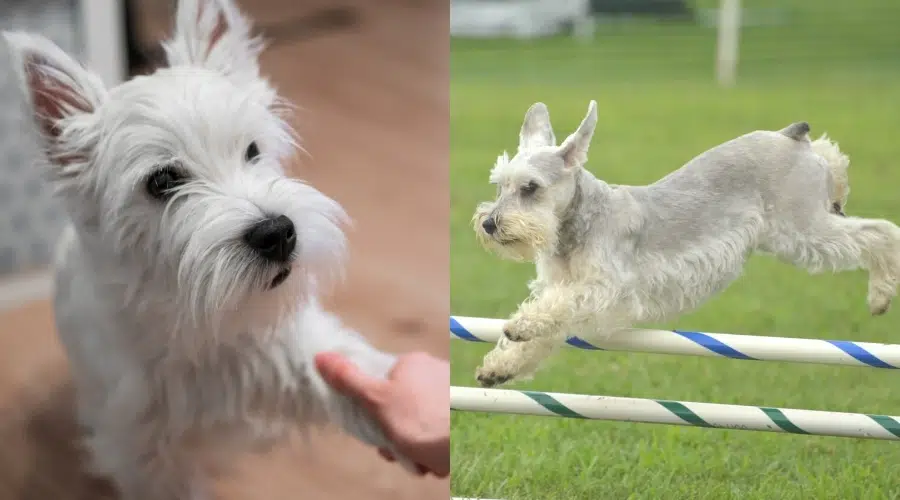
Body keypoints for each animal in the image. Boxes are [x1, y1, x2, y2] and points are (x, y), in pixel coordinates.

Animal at [2, 1, 414, 498]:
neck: (202, 319)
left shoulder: (296, 346)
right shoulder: (146, 454)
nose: (277, 233)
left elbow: (356, 371)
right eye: (162, 181)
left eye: (252, 149)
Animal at [472, 100, 900, 386]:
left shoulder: (605, 289)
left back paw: (881, 294)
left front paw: (521, 325)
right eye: (499, 185)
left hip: (804, 229)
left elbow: (553, 310)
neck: (579, 224)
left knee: (881, 231)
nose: (490, 224)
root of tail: (788, 135)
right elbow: (548, 329)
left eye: (530, 187)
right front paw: (500, 367)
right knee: (833, 158)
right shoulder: (570, 295)